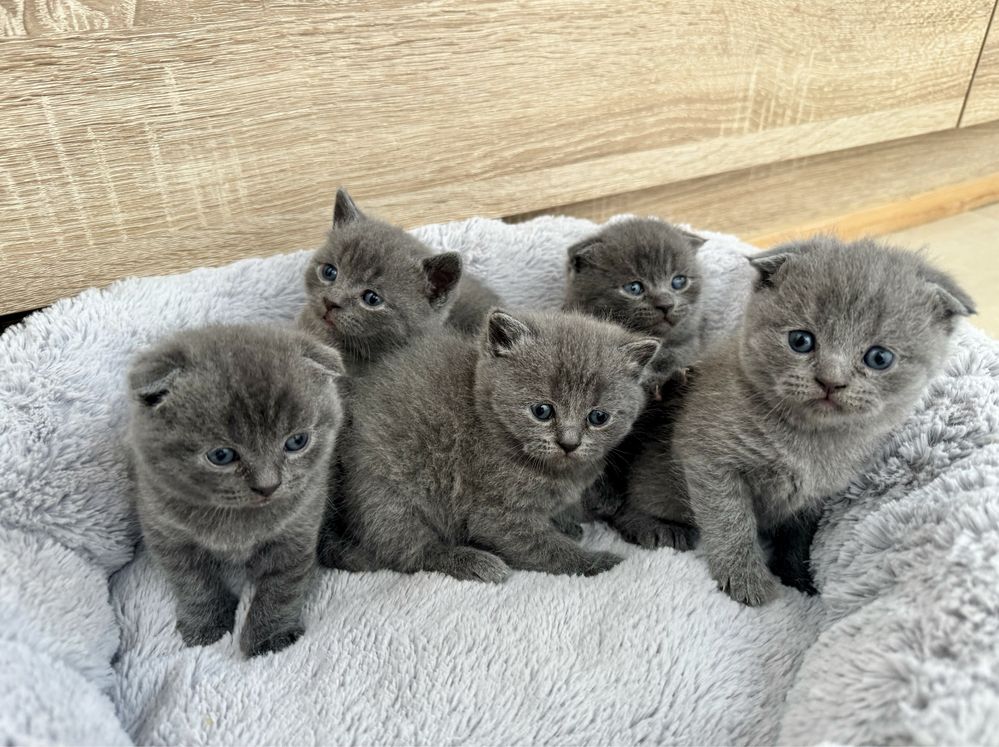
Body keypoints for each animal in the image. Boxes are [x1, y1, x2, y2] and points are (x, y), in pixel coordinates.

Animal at [127, 324, 346, 656]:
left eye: (297, 441)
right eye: (221, 456)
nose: (268, 485)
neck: (236, 520)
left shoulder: (299, 526)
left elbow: (281, 585)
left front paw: (269, 637)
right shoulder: (164, 529)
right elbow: (193, 581)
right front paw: (206, 626)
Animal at [322, 306, 664, 580]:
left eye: (598, 417)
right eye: (542, 411)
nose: (569, 443)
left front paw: (565, 523)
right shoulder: (497, 515)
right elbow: (548, 549)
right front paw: (599, 562)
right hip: (386, 495)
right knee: (410, 552)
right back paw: (476, 562)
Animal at [612, 240, 972, 608]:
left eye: (879, 357)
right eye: (800, 341)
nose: (831, 381)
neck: (807, 438)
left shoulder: (817, 495)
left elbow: (799, 536)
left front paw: (798, 577)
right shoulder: (708, 456)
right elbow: (730, 520)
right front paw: (746, 579)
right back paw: (655, 527)